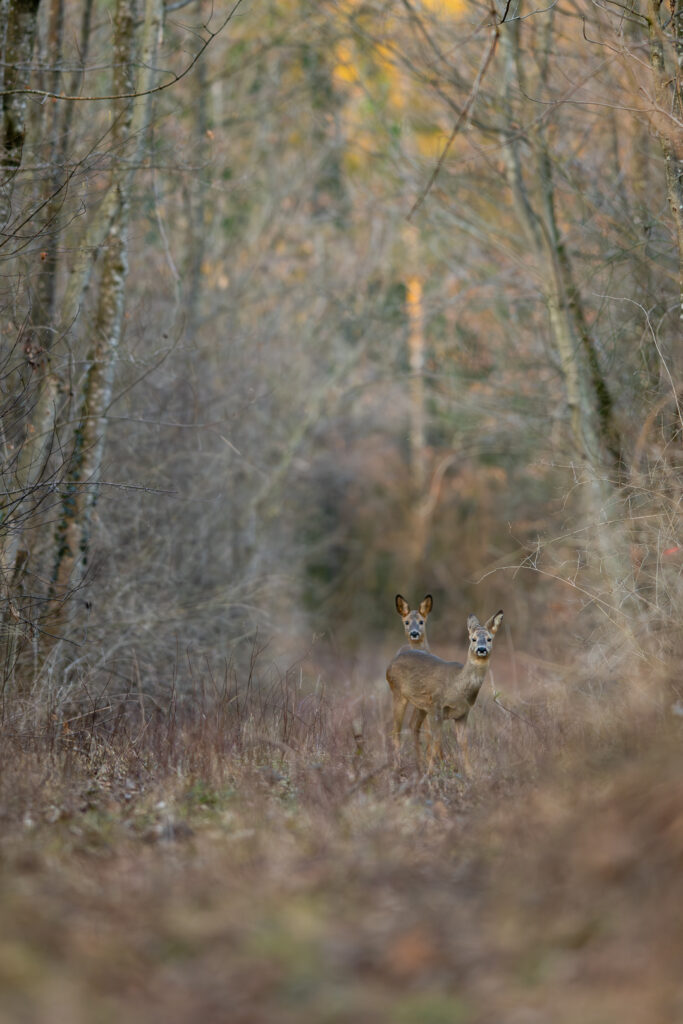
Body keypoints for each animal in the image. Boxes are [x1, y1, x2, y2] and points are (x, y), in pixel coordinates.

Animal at [386, 609, 504, 774]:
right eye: (473, 639)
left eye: (489, 639)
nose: (481, 649)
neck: (457, 687)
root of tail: (391, 663)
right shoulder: (437, 707)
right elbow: (436, 741)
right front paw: (431, 772)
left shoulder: (462, 714)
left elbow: (463, 742)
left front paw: (470, 773)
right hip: (397, 692)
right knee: (396, 730)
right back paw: (398, 768)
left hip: (421, 705)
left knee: (413, 726)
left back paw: (419, 766)